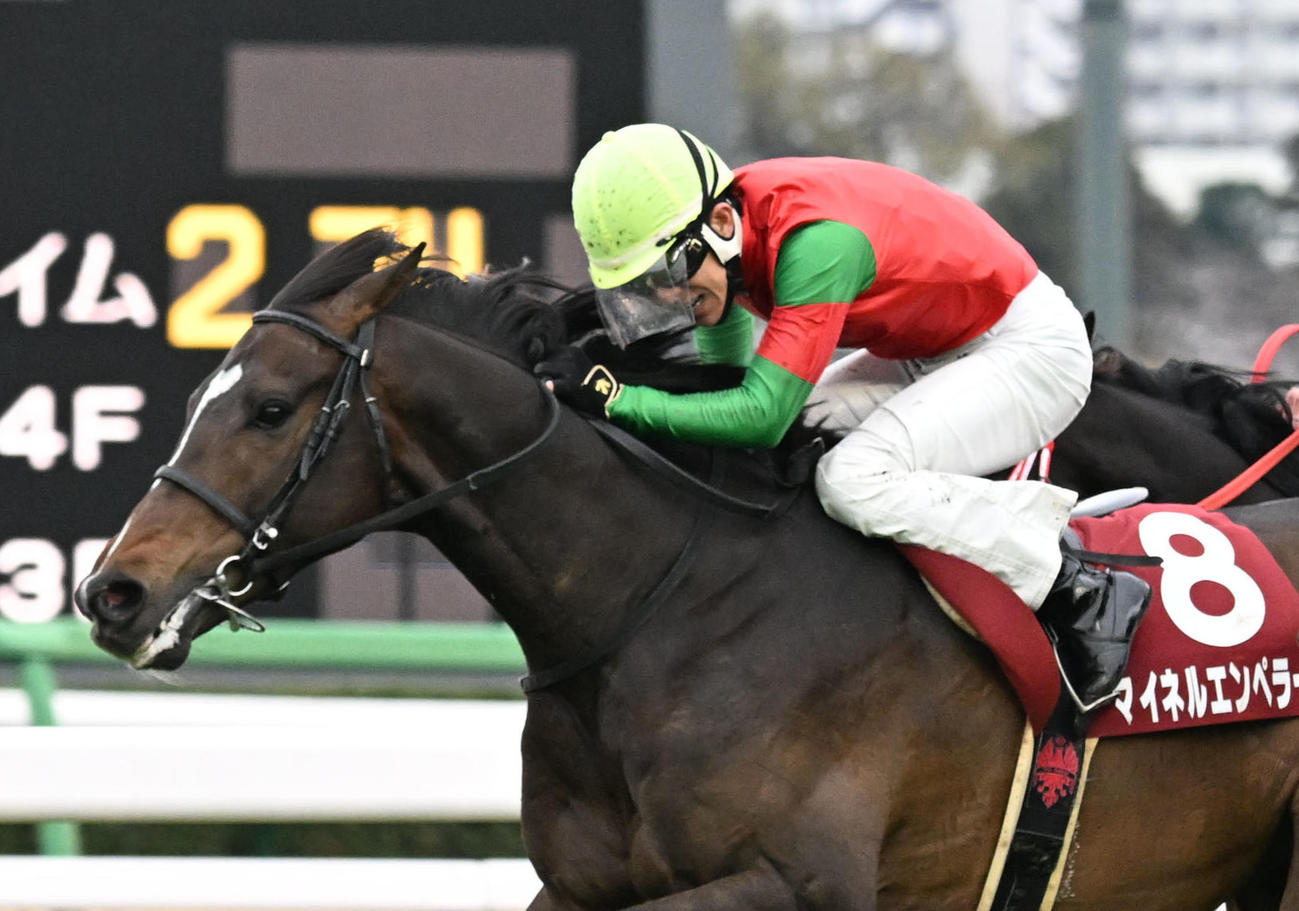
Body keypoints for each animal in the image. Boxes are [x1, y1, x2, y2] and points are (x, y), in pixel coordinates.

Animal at [76, 229, 1299, 910]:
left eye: (272, 409)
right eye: (206, 399)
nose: (112, 592)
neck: (664, 602)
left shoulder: (798, 881)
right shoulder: (576, 886)